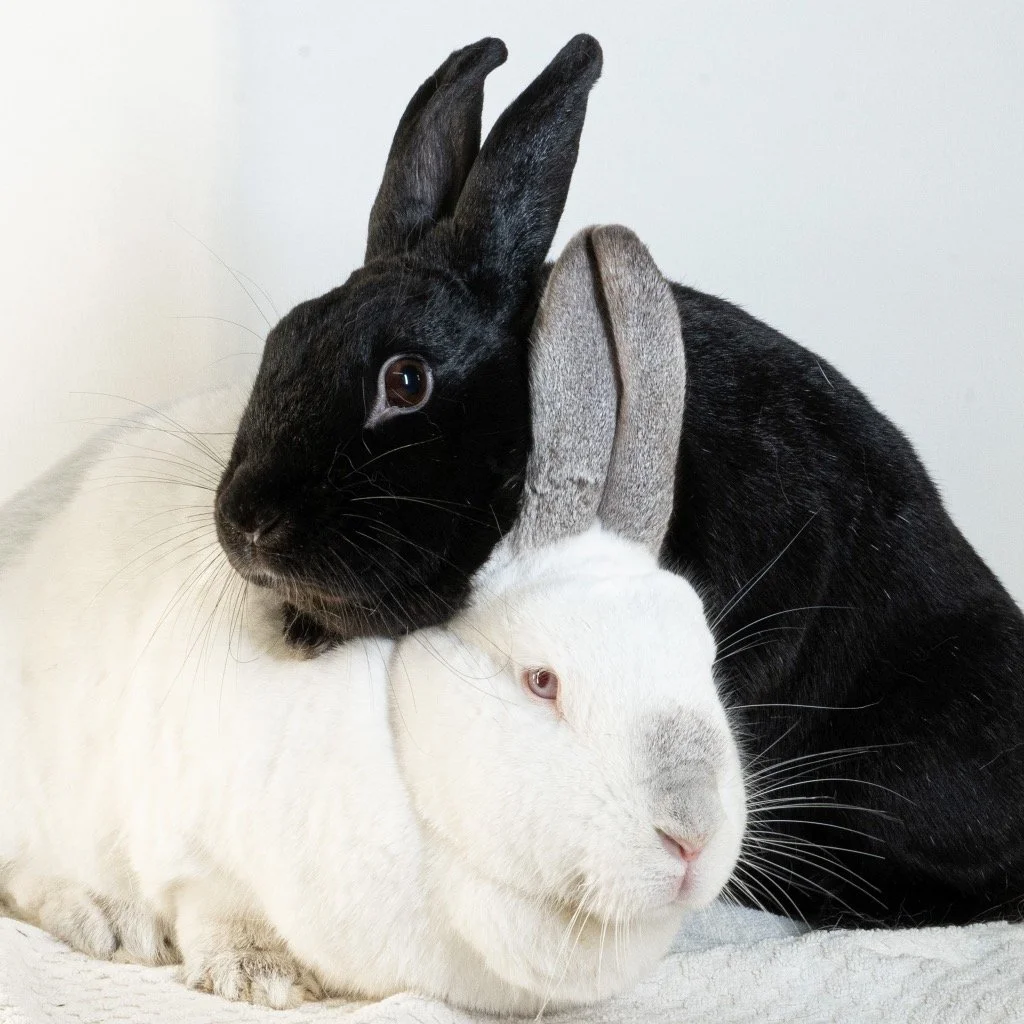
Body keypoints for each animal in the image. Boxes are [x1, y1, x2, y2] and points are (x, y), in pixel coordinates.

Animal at [0, 225, 746, 1012]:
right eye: (541, 681)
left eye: (706, 660)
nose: (692, 836)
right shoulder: (191, 837)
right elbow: (217, 905)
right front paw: (258, 976)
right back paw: (113, 923)